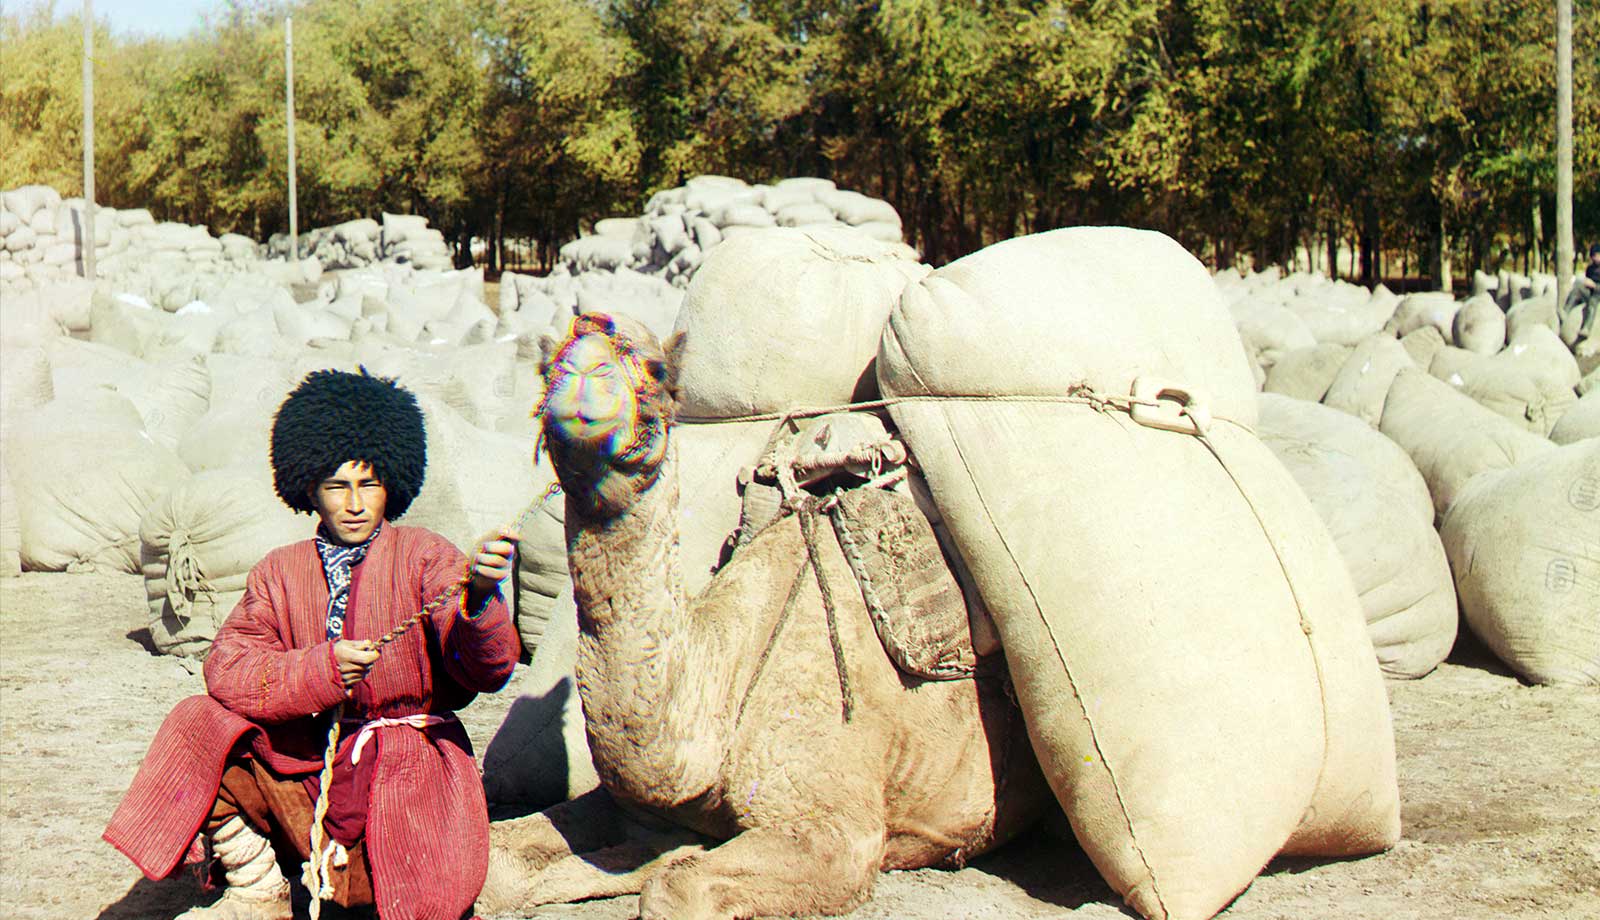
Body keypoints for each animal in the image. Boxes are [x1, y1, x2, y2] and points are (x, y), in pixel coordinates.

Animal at [476, 313, 1049, 915]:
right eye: (547, 368)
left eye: (657, 372)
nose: (585, 366)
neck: (725, 682)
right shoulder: (633, 806)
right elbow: (501, 858)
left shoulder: (836, 830)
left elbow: (672, 888)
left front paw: (667, 863)